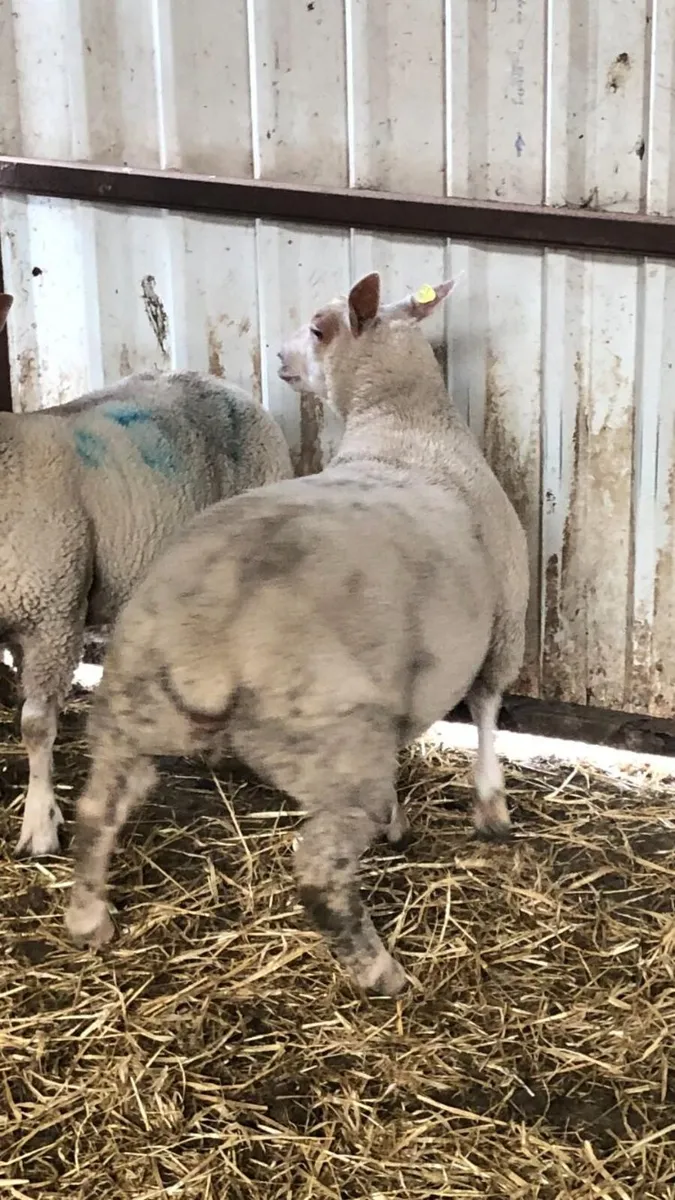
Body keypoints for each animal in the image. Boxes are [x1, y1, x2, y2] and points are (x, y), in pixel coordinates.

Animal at [64, 271, 529, 998]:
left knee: (98, 809)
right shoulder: (504, 623)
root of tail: (212, 635)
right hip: (330, 740)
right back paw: (379, 970)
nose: (279, 358)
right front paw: (490, 808)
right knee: (317, 867)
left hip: (132, 700)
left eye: (317, 328)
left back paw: (88, 917)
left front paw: (405, 816)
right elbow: (486, 710)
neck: (404, 428)